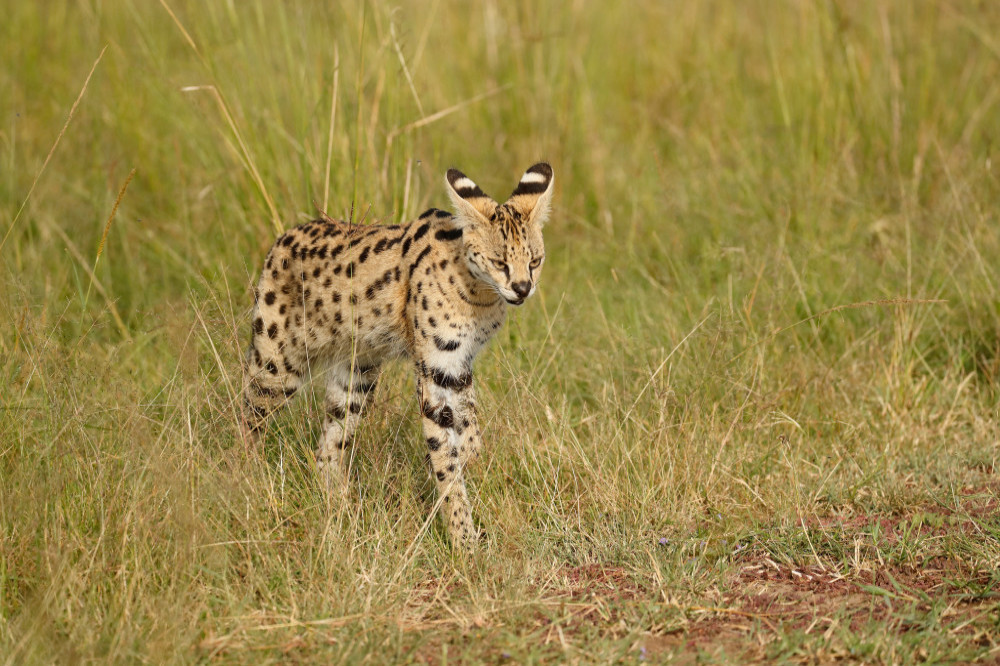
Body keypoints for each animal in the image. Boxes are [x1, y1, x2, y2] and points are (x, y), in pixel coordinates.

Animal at [243, 162, 556, 544]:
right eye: (500, 262)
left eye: (535, 261)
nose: (523, 288)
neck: (478, 296)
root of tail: (281, 240)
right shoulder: (435, 368)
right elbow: (445, 457)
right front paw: (463, 538)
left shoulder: (459, 366)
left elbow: (469, 435)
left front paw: (473, 470)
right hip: (278, 363)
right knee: (246, 416)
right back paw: (245, 482)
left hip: (356, 376)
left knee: (327, 448)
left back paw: (341, 511)